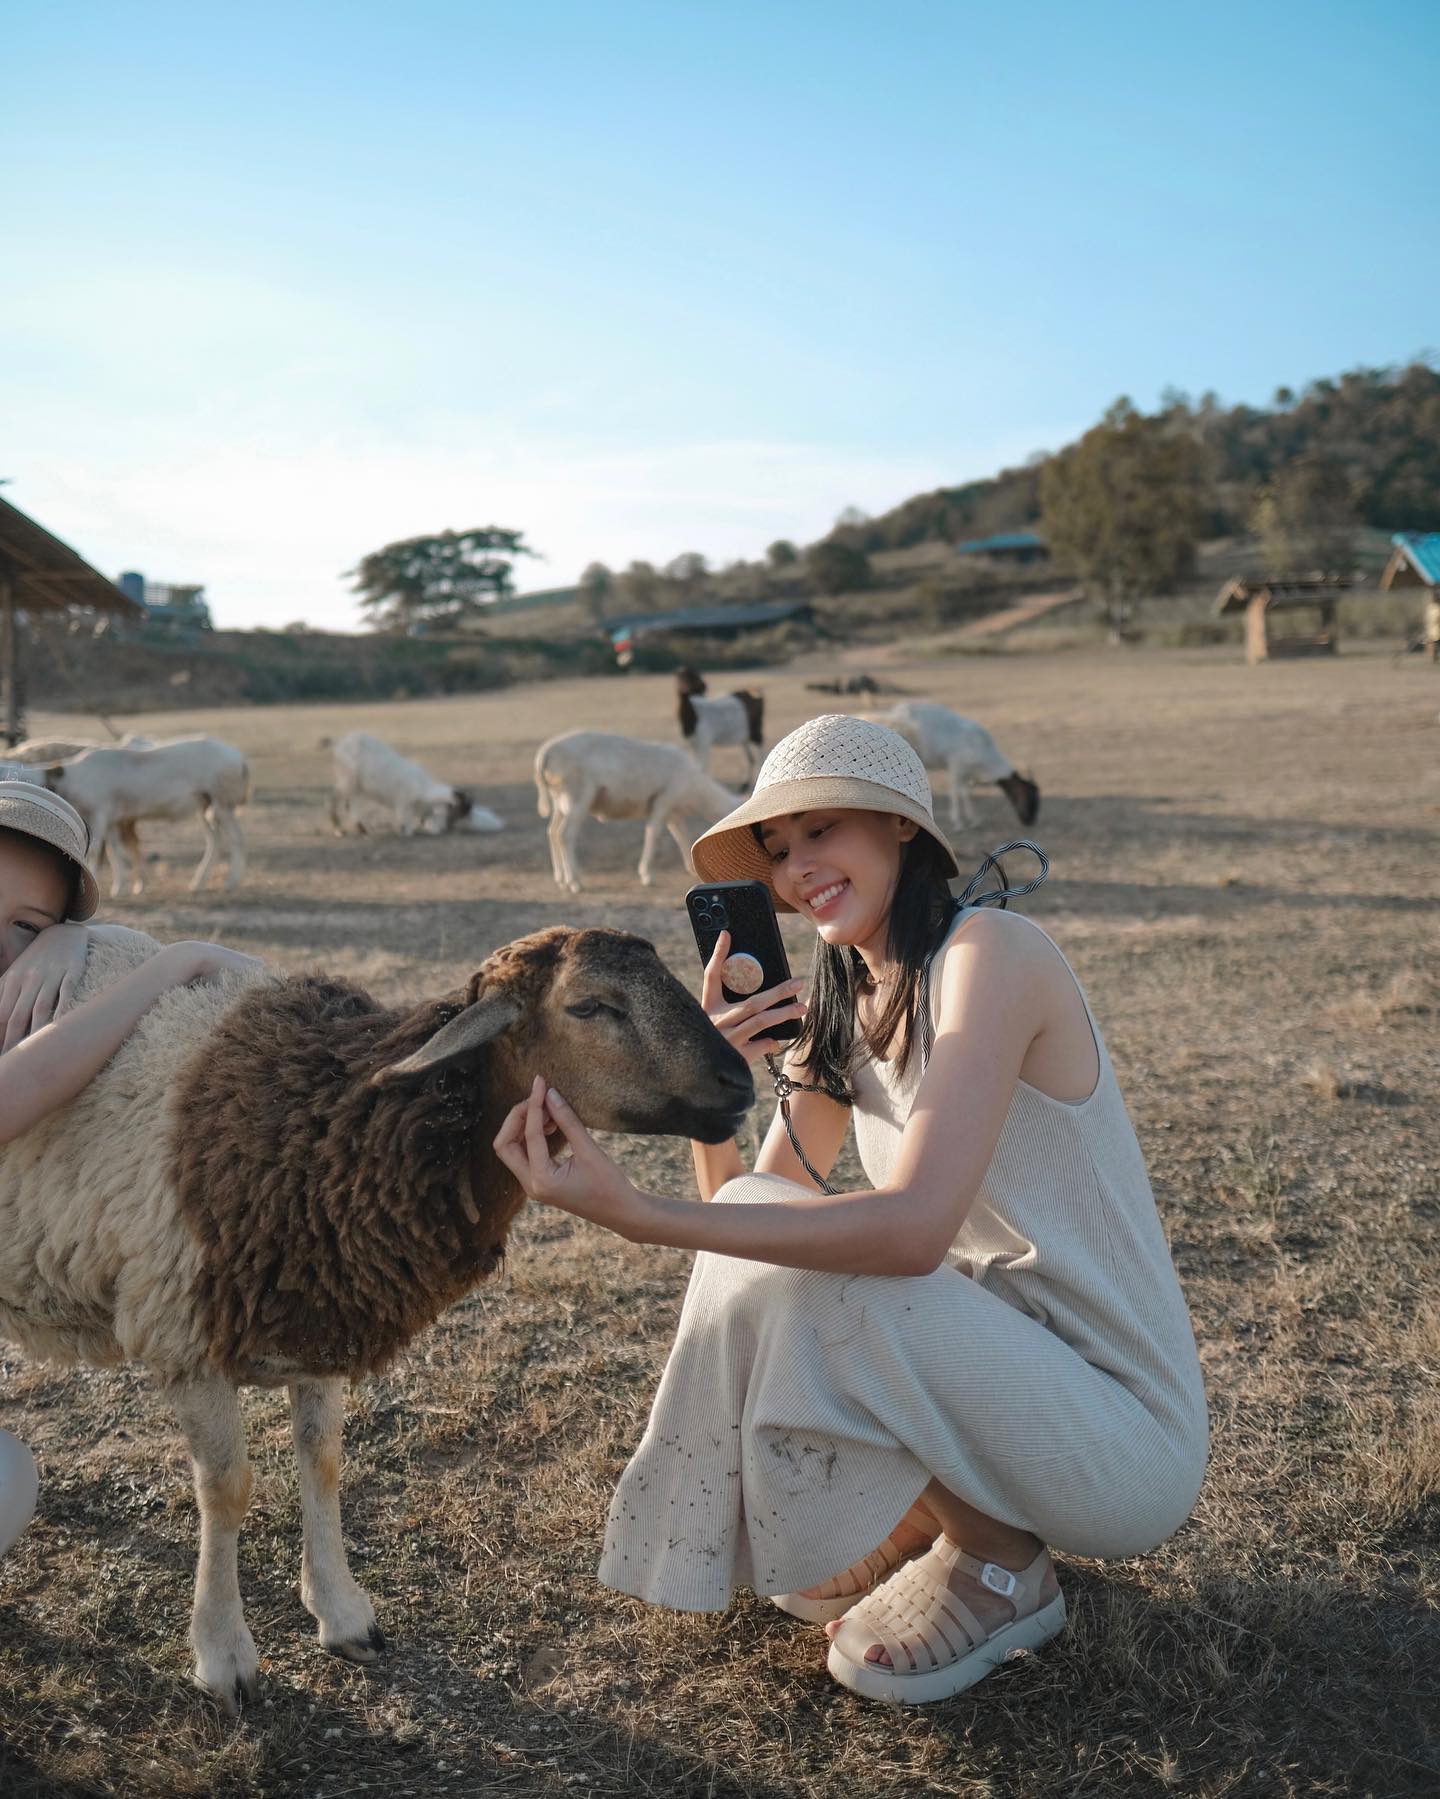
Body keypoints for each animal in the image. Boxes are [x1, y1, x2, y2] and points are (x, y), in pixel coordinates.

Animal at [0, 921, 759, 1705]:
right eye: (589, 1005)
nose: (741, 1084)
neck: (333, 1119)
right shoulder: (184, 1331)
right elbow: (228, 1489)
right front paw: (223, 1652)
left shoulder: (320, 1312)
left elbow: (324, 1460)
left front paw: (342, 1612)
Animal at [41, 733, 250, 895]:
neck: (74, 777)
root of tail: (241, 759)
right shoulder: (111, 819)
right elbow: (114, 850)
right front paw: (120, 887)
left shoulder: (99, 814)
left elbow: (93, 850)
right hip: (205, 806)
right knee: (215, 840)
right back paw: (198, 883)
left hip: (222, 803)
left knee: (237, 837)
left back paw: (231, 882)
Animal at [329, 726, 504, 838]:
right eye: (460, 810)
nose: (447, 829)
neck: (422, 786)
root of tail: (340, 745)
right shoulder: (402, 803)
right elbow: (404, 821)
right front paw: (405, 833)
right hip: (347, 779)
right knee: (335, 797)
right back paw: (338, 829)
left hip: (356, 785)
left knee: (351, 801)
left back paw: (361, 828)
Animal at [532, 730, 741, 892]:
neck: (698, 792)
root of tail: (546, 752)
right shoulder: (663, 801)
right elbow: (653, 834)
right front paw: (647, 875)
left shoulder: (673, 812)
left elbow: (681, 836)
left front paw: (691, 868)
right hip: (578, 795)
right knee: (564, 835)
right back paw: (575, 882)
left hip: (559, 799)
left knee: (552, 832)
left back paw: (560, 879)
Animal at [878, 698, 1036, 831]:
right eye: (1030, 797)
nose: (1029, 821)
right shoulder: (956, 766)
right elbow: (955, 792)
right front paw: (958, 822)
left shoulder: (966, 771)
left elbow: (965, 792)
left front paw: (973, 820)